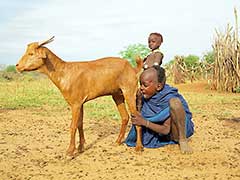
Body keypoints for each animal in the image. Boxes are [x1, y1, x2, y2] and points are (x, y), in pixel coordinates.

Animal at [16, 36, 144, 156]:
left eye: (31, 53)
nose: (17, 66)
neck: (64, 72)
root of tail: (133, 69)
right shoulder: (80, 103)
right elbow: (79, 124)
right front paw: (80, 147)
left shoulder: (75, 104)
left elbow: (73, 126)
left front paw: (70, 151)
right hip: (117, 95)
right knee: (125, 117)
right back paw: (117, 141)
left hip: (129, 92)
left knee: (137, 117)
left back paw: (138, 147)